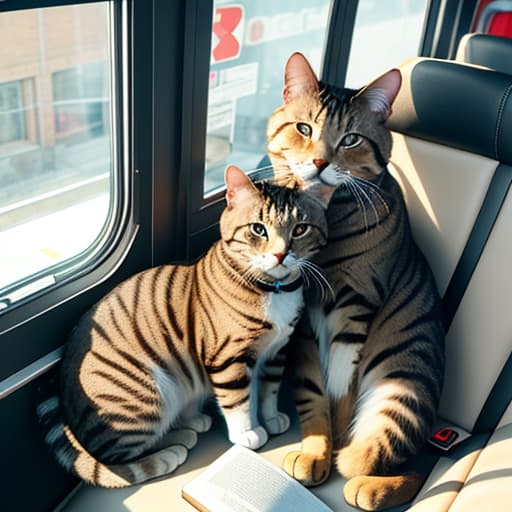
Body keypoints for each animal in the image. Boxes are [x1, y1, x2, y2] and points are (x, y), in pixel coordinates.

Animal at [39, 166, 336, 490]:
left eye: (300, 229)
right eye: (258, 229)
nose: (280, 255)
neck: (274, 288)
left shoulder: (276, 352)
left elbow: (267, 390)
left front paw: (269, 418)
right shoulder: (229, 358)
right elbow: (238, 401)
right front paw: (247, 433)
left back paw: (191, 423)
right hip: (146, 394)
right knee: (118, 457)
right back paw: (173, 449)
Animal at [268, 54, 444, 510]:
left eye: (350, 139)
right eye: (304, 129)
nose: (319, 163)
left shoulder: (356, 309)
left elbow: (342, 392)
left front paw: (337, 445)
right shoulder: (305, 321)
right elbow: (317, 395)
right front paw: (317, 450)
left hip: (403, 382)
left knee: (389, 457)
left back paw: (364, 476)